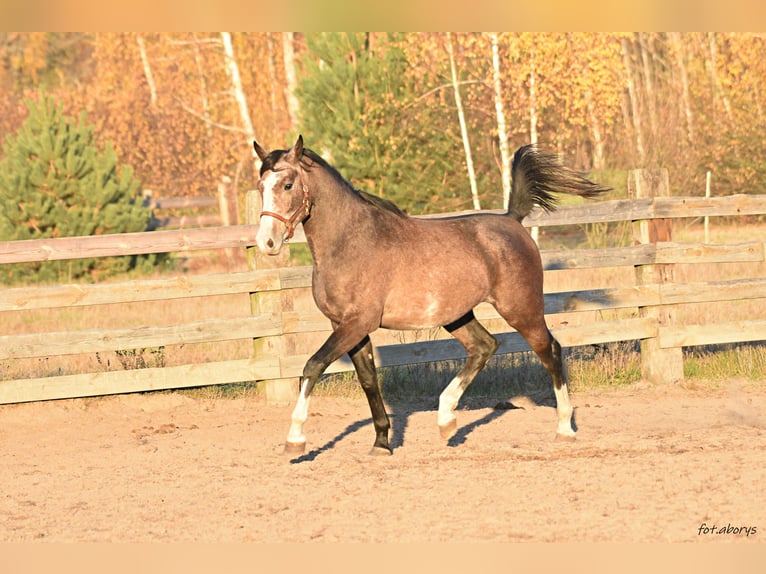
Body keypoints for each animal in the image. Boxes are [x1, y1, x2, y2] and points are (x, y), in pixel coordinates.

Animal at [255, 137, 608, 456]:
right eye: (260, 187)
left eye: (287, 184)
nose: (266, 244)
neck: (350, 242)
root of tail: (512, 220)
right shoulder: (345, 326)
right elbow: (368, 379)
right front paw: (382, 443)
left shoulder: (357, 323)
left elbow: (313, 366)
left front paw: (295, 440)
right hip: (457, 315)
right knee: (484, 346)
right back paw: (446, 421)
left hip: (521, 308)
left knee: (550, 350)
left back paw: (564, 428)